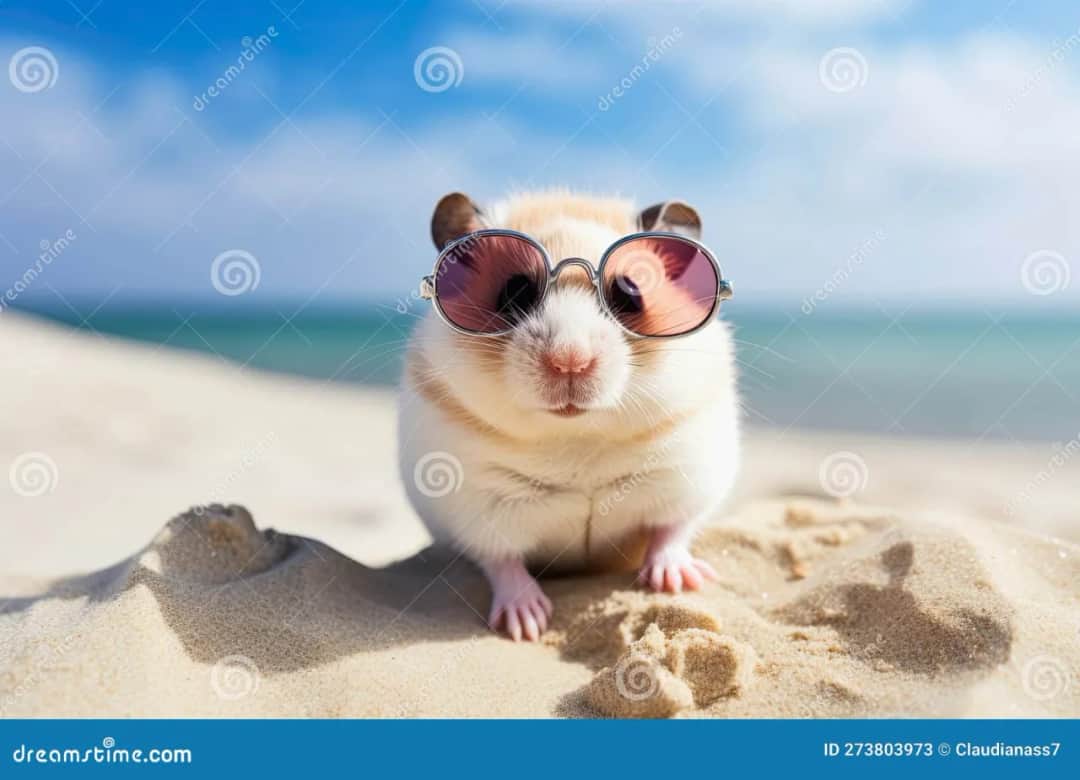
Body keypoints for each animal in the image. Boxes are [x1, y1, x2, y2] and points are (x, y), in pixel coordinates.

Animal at [398, 191, 739, 641]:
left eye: (629, 293)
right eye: (514, 293)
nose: (570, 361)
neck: (578, 435)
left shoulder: (686, 477)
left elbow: (672, 529)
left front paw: (679, 583)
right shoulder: (476, 503)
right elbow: (501, 560)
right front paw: (527, 626)